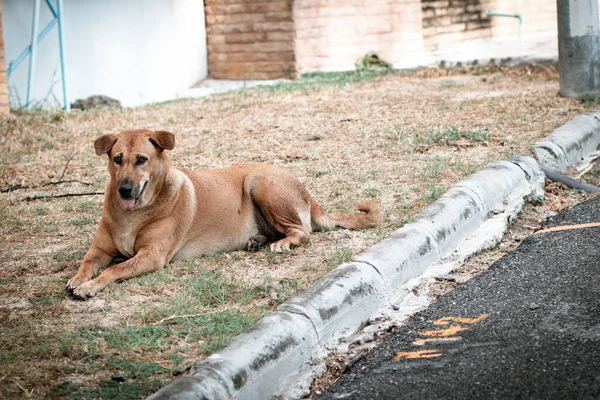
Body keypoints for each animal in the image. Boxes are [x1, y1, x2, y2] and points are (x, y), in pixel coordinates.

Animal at [67, 130, 384, 298]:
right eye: (117, 159)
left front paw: (90, 286)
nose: (124, 189)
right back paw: (257, 241)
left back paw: (282, 243)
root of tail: (306, 190)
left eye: (141, 160)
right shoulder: (100, 250)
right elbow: (87, 263)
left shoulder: (151, 255)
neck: (133, 214)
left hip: (259, 181)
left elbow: (115, 269)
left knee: (302, 232)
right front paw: (79, 279)